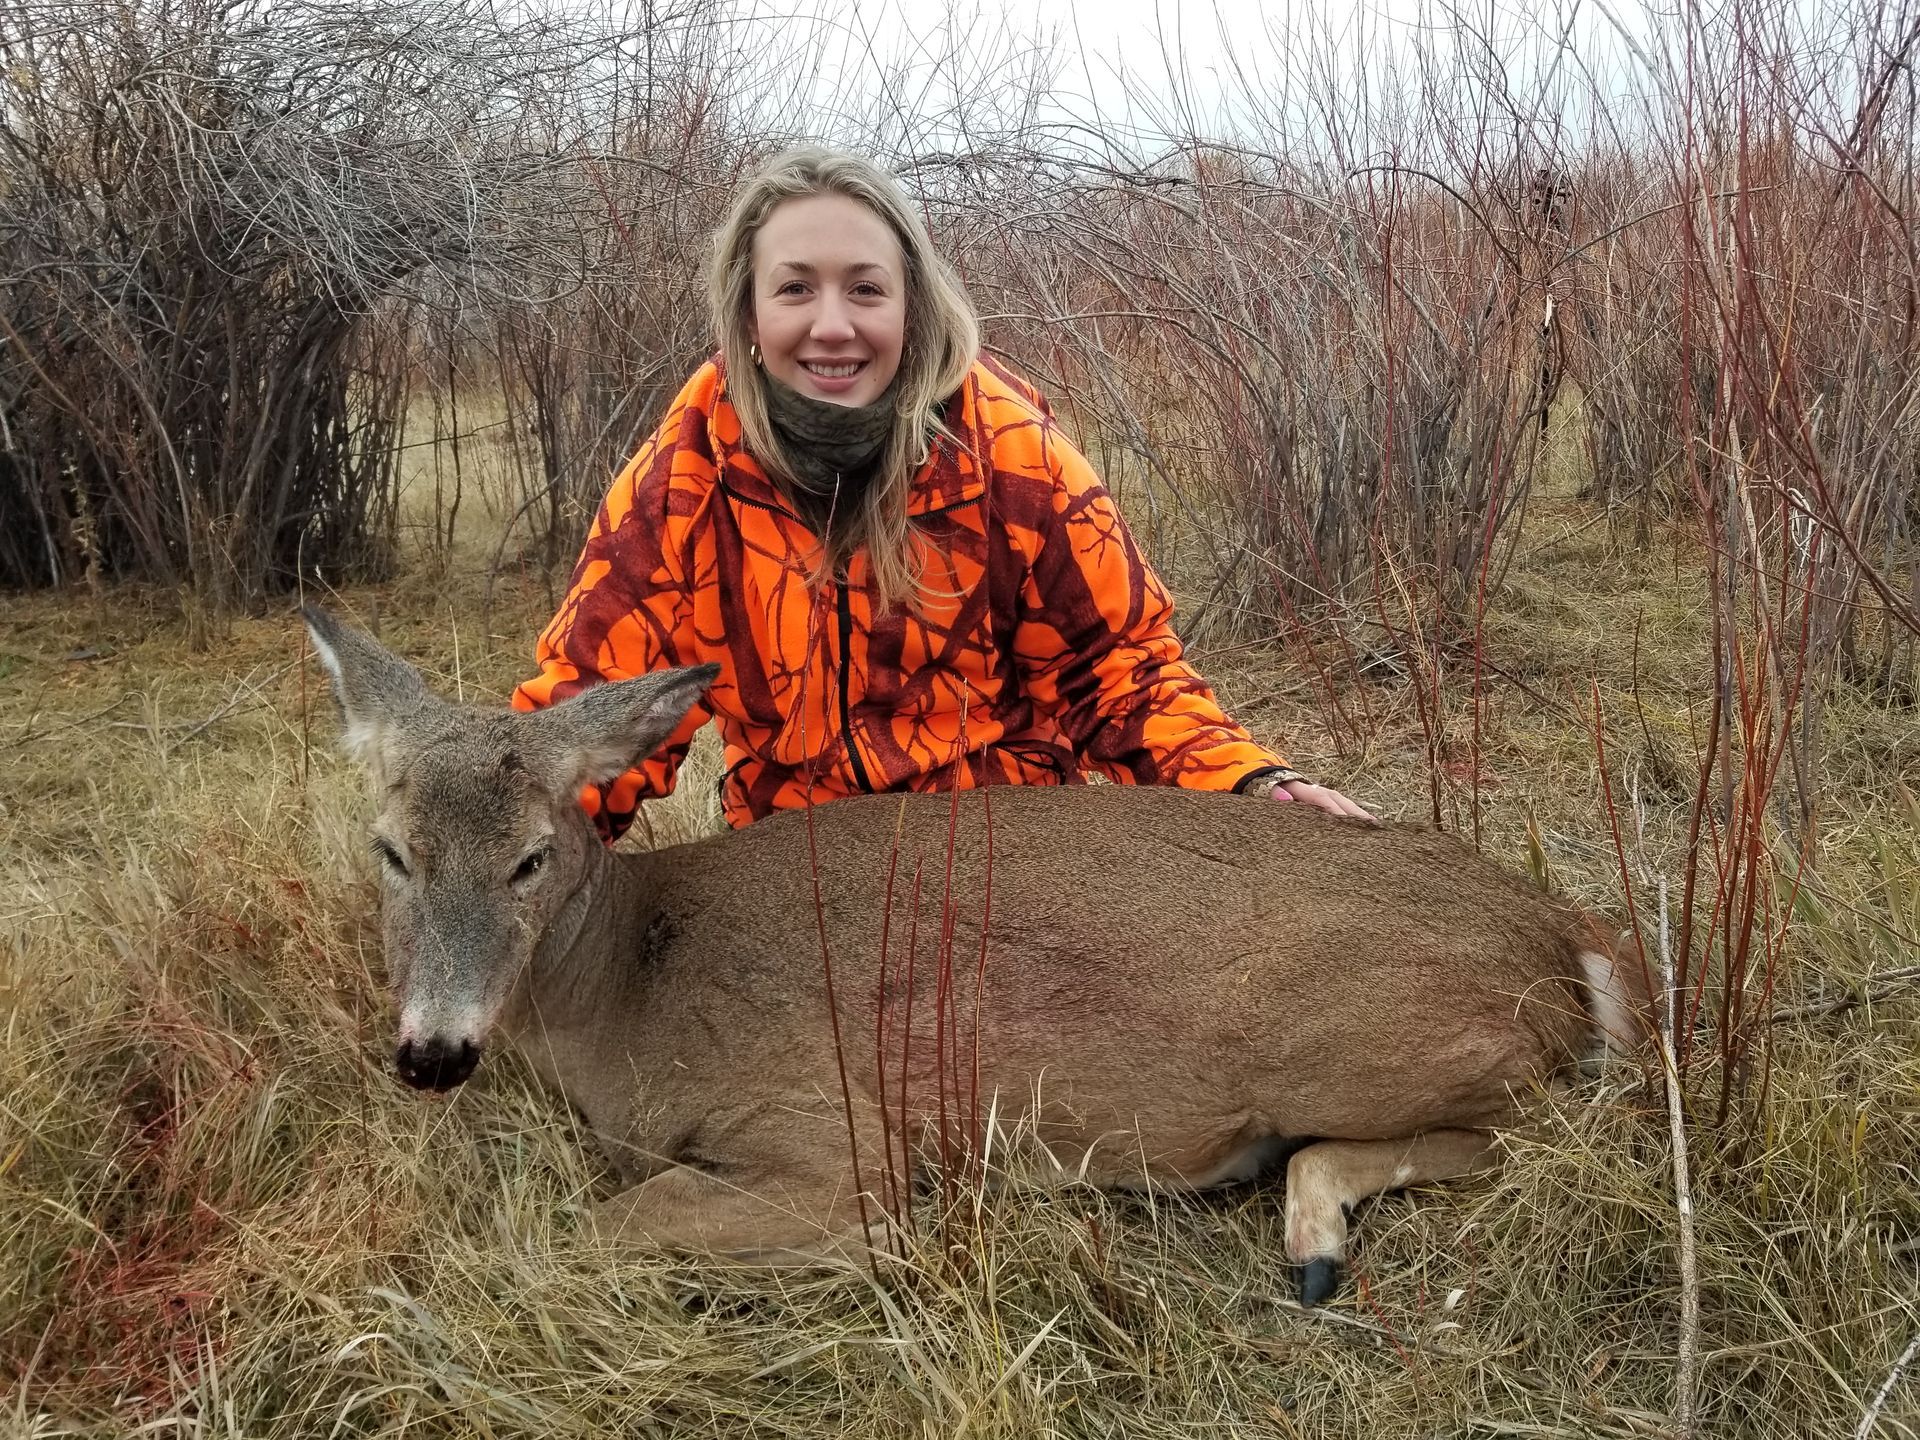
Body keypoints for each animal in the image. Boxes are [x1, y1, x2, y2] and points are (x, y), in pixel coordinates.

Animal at [301, 604, 1648, 1305]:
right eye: (390, 849)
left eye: (532, 857)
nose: (432, 1052)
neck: (636, 977)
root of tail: (1567, 930)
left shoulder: (834, 1135)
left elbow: (621, 1219)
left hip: (1350, 1044)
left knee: (1548, 1128)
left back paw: (1312, 1231)